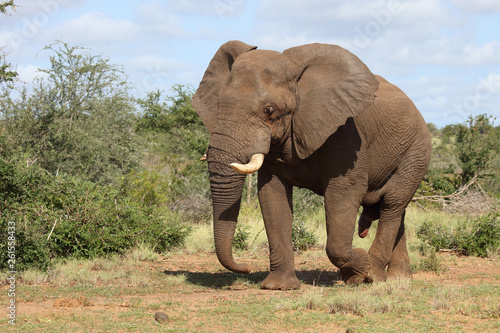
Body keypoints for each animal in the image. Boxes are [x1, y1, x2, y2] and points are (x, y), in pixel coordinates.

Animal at [189, 40, 432, 288]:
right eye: (219, 106)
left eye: (269, 111)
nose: (245, 267)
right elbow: (272, 196)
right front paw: (279, 286)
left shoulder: (345, 133)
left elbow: (344, 191)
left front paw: (359, 270)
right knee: (396, 210)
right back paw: (397, 278)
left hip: (416, 152)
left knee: (392, 204)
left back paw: (374, 276)